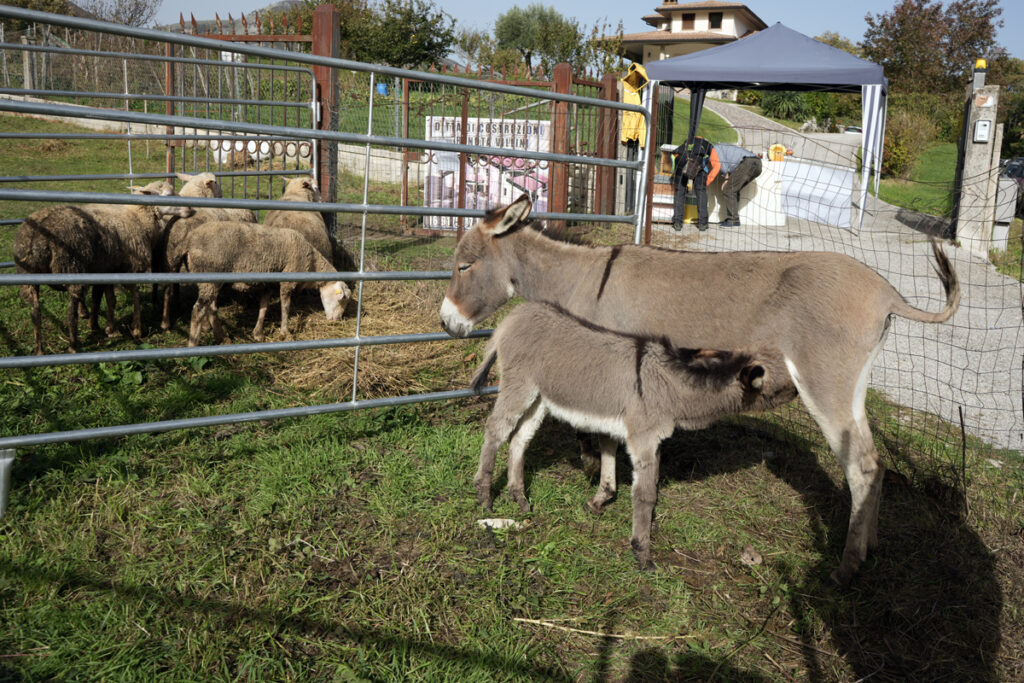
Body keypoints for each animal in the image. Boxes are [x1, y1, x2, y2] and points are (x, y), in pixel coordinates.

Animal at [12, 180, 192, 352]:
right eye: (167, 194)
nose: (190, 209)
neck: (137, 217)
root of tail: (36, 238)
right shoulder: (129, 267)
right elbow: (134, 297)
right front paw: (136, 330)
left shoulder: (106, 268)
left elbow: (103, 298)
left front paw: (103, 327)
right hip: (70, 267)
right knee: (70, 312)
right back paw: (73, 346)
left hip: (28, 276)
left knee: (35, 312)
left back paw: (39, 350)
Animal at [157, 172, 260, 329]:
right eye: (215, 182)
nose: (221, 194)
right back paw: (206, 325)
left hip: (171, 258)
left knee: (168, 291)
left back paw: (165, 323)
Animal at [186, 220, 354, 348]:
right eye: (342, 299)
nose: (336, 321)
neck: (312, 262)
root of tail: (191, 239)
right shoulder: (288, 280)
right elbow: (285, 307)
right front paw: (286, 333)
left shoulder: (269, 284)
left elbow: (263, 307)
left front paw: (258, 333)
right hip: (209, 276)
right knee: (198, 310)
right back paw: (193, 346)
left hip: (211, 281)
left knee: (210, 308)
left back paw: (221, 337)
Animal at [471, 303, 798, 573]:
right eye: (783, 384)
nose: (799, 392)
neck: (671, 386)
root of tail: (515, 314)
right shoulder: (644, 439)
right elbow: (645, 495)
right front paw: (642, 553)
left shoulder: (637, 435)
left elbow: (612, 460)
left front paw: (599, 501)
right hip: (519, 386)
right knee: (496, 431)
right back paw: (485, 497)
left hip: (539, 397)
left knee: (519, 439)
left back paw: (519, 498)